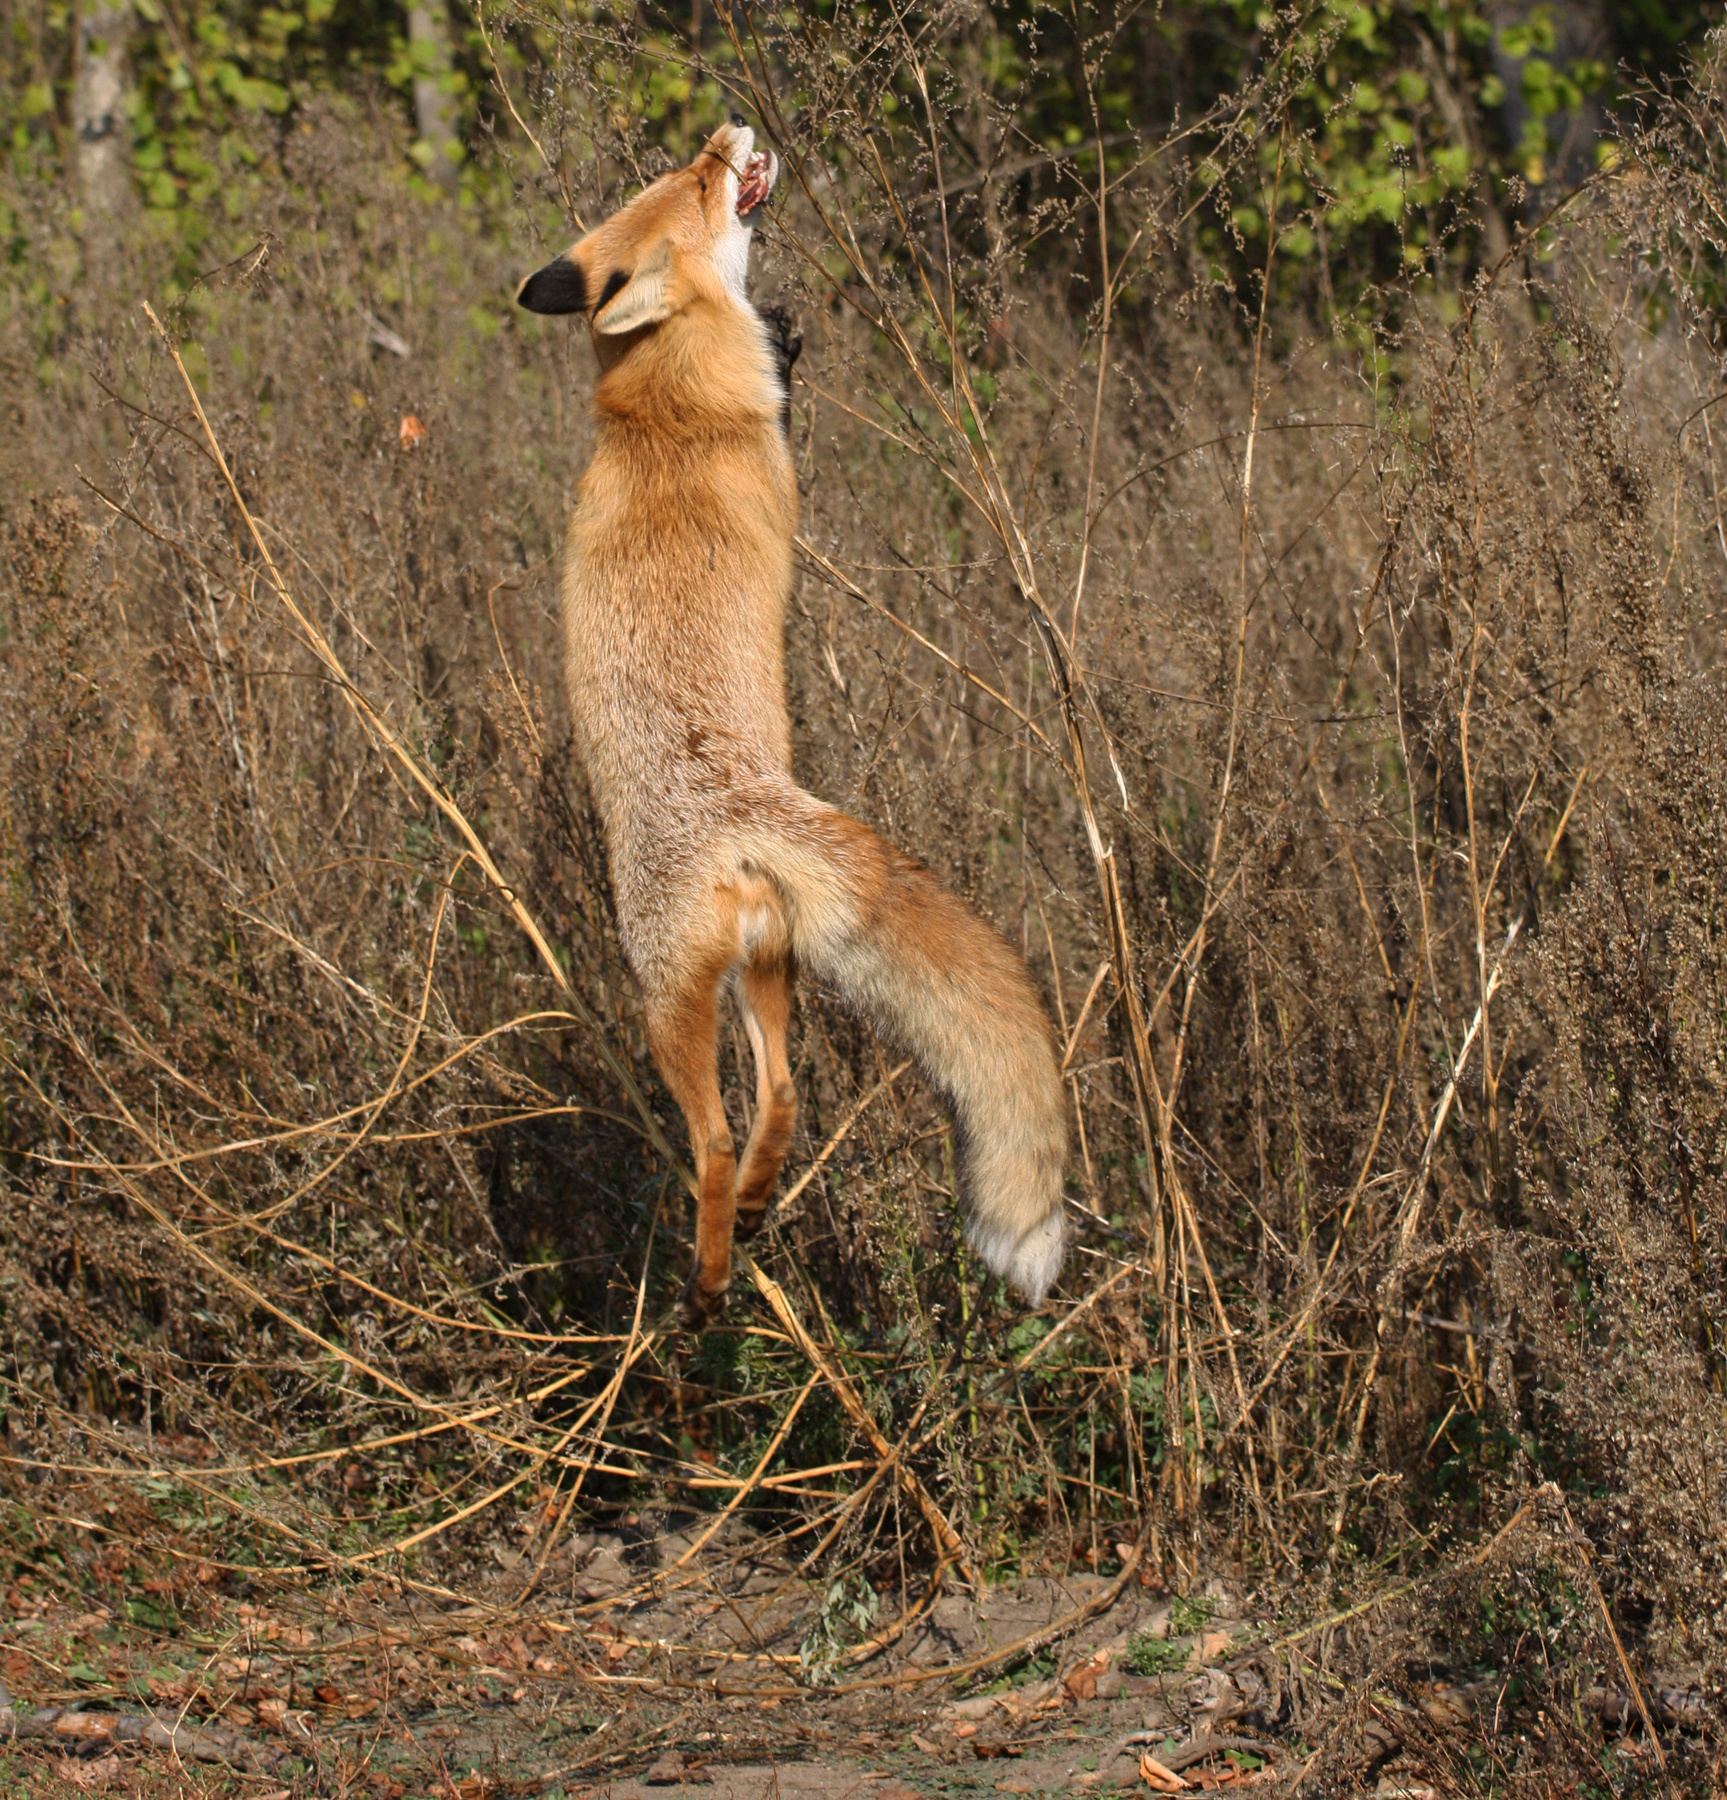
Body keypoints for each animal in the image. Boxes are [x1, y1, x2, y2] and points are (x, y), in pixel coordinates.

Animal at [516, 120, 1069, 1329]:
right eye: (700, 183)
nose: (729, 129)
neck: (661, 409)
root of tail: (745, 803)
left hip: (713, 988)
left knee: (746, 1121)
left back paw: (730, 1259)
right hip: (718, 987)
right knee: (749, 1121)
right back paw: (733, 1252)